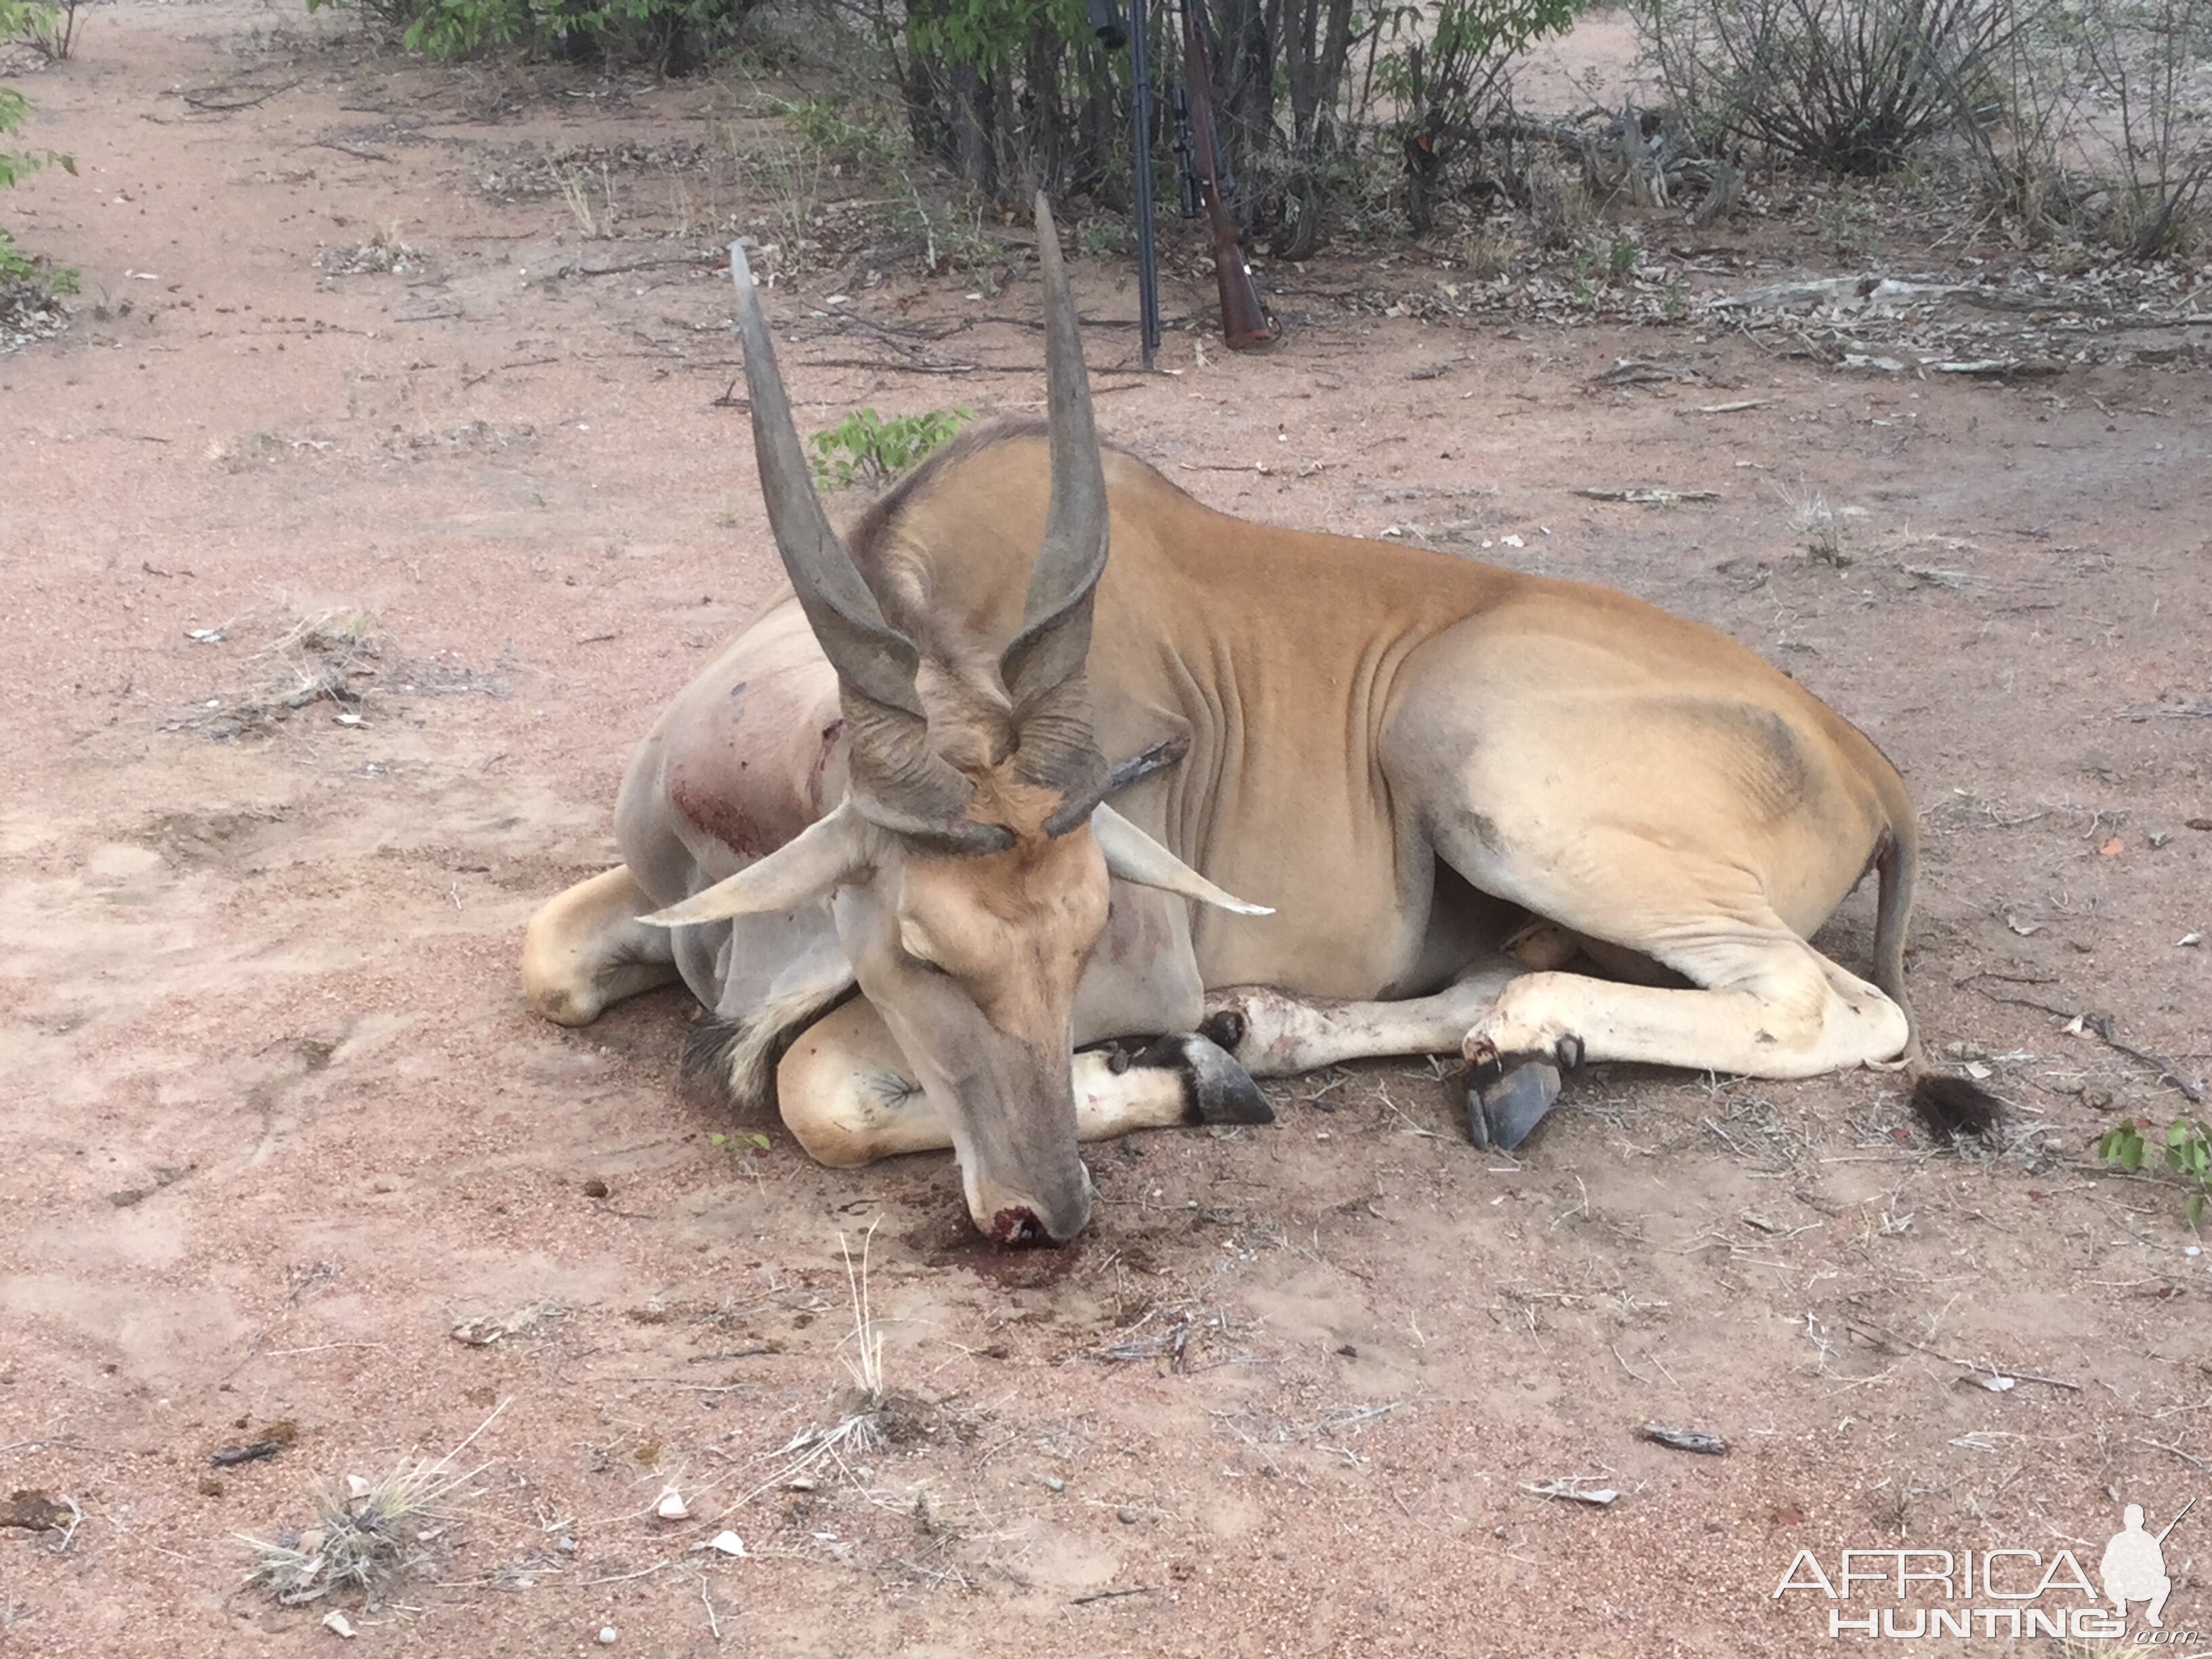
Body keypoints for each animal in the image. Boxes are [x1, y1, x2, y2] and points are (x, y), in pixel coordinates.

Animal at [522, 198, 2008, 1247]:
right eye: (923, 950)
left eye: (1080, 941)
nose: (1046, 1214)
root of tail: (1861, 754)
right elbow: (549, 958)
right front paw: (1219, 1058)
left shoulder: (1138, 970)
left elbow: (816, 1086)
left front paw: (1179, 1076)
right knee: (1487, 989)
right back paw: (1414, 1048)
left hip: (1469, 756)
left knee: (1838, 1003)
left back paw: (1492, 1033)